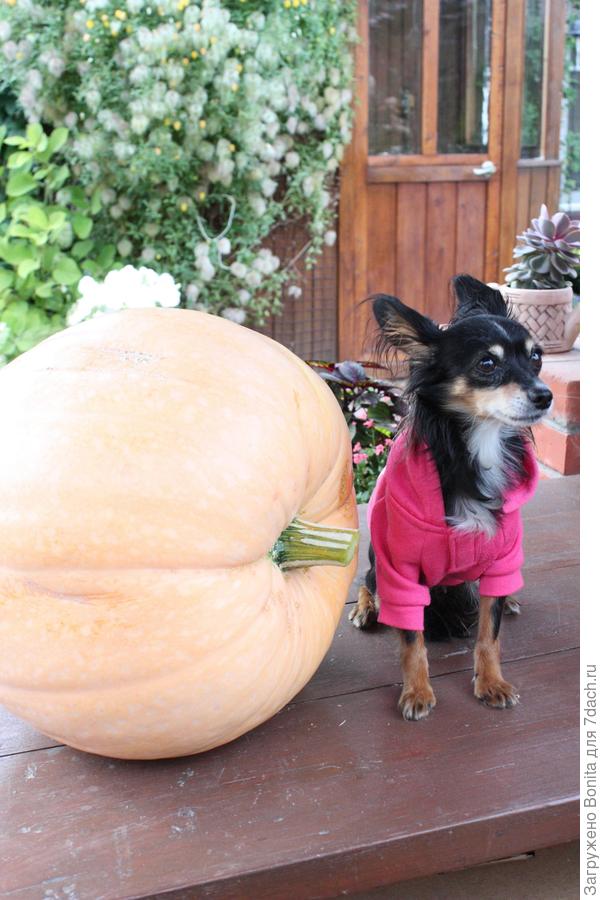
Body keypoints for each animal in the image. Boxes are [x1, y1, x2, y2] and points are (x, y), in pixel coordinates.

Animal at [348, 275, 553, 720]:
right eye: (487, 365)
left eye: (537, 359)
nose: (545, 395)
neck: (478, 448)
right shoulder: (401, 568)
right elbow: (412, 641)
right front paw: (417, 691)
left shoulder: (502, 559)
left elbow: (489, 634)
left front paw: (491, 682)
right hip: (377, 561)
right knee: (369, 581)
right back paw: (367, 607)